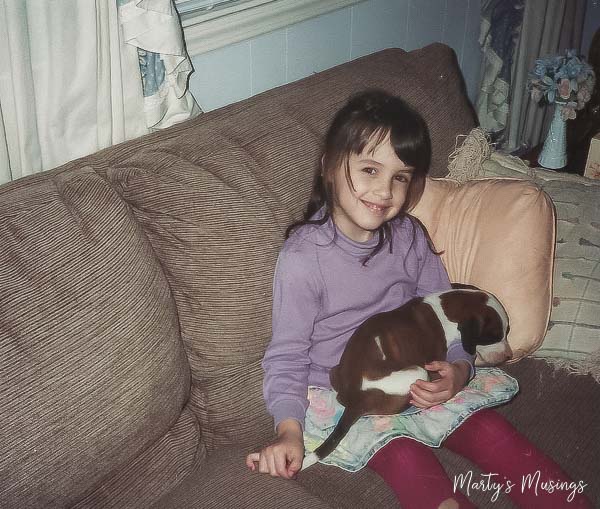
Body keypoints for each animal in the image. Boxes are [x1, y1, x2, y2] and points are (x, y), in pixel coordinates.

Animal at [302, 286, 512, 468]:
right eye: (494, 336)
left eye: (507, 332)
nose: (509, 356)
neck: (446, 309)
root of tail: (356, 398)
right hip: (418, 372)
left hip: (335, 371)